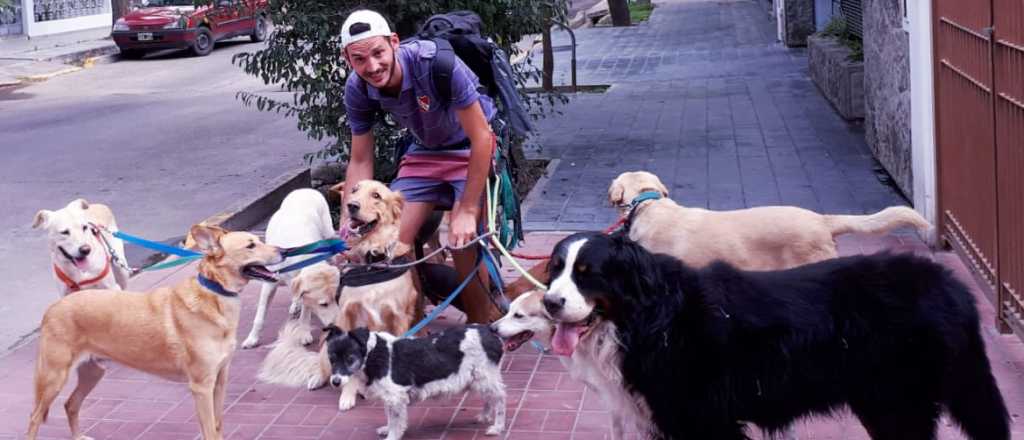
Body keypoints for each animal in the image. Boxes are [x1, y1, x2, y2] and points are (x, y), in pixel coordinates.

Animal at [28, 225, 284, 437]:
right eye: (250, 245)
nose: (284, 250)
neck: (214, 296)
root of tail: (52, 307)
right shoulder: (201, 387)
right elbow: (210, 431)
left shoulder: (220, 380)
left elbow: (218, 426)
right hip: (53, 378)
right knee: (34, 417)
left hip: (93, 372)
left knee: (70, 404)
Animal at [241, 189, 337, 349]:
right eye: (323, 304)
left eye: (337, 299)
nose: (337, 327)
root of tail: (306, 189)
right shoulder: (269, 283)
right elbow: (260, 315)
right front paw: (252, 338)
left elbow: (305, 312)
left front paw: (304, 332)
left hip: (328, 233)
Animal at [325, 323, 505, 440]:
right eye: (331, 360)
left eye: (350, 359)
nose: (335, 382)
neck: (372, 355)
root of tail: (490, 332)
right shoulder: (391, 398)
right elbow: (390, 417)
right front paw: (387, 429)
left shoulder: (396, 396)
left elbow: (396, 422)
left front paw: (391, 436)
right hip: (479, 379)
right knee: (489, 398)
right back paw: (484, 416)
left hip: (485, 376)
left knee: (500, 398)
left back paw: (497, 427)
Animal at [544, 232, 1007, 437]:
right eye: (555, 269)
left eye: (588, 274)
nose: (550, 303)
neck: (648, 318)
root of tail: (949, 283)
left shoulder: (700, 419)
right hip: (884, 399)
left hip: (905, 398)